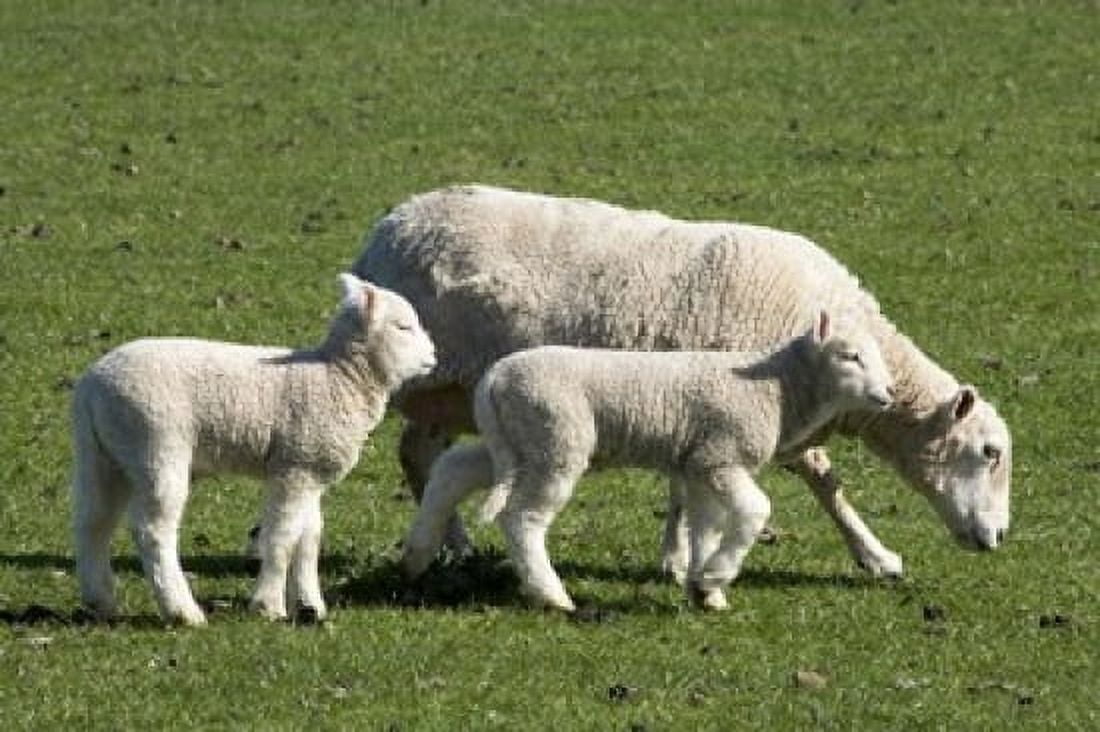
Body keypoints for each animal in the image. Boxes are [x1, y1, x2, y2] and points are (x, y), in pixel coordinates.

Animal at [71, 273, 435, 626]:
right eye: (402, 327)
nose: (434, 357)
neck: (338, 376)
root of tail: (91, 387)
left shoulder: (309, 468)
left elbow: (309, 539)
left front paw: (309, 605)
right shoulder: (294, 467)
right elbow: (281, 537)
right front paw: (268, 605)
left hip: (102, 453)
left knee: (92, 521)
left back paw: (100, 601)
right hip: (155, 445)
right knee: (152, 530)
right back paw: (182, 611)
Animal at [354, 185, 1012, 578]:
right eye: (989, 453)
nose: (999, 537)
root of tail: (390, 225)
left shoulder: (690, 404)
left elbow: (685, 483)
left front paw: (676, 555)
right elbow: (827, 483)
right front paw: (876, 556)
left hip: (449, 394)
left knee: (420, 452)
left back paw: (453, 542)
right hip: (424, 376)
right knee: (412, 451)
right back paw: (452, 543)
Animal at [402, 312, 895, 611]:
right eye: (850, 356)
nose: (889, 394)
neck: (777, 388)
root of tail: (494, 380)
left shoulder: (699, 464)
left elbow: (705, 526)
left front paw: (705, 590)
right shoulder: (722, 455)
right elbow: (756, 510)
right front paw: (716, 575)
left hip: (515, 440)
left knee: (453, 470)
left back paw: (417, 553)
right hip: (554, 439)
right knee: (522, 518)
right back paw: (552, 595)